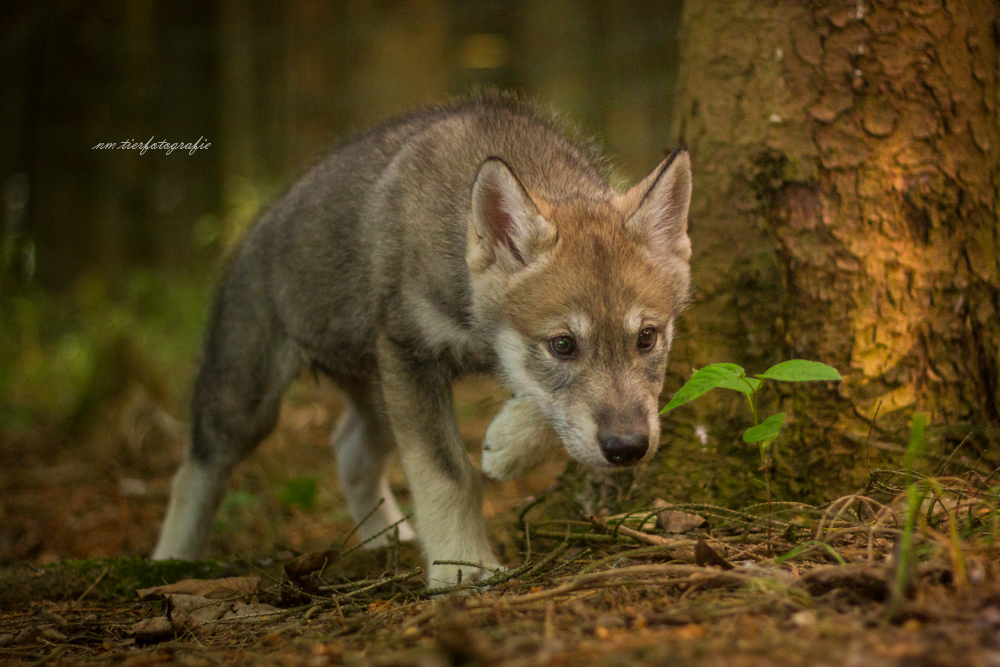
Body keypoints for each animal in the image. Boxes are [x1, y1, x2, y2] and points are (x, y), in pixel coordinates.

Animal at [152, 94, 692, 584]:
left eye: (647, 338)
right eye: (562, 345)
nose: (628, 448)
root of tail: (253, 230)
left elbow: (542, 404)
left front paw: (507, 446)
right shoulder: (409, 353)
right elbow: (448, 473)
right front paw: (463, 569)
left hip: (375, 391)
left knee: (350, 449)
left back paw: (390, 539)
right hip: (248, 398)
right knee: (196, 470)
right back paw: (168, 564)